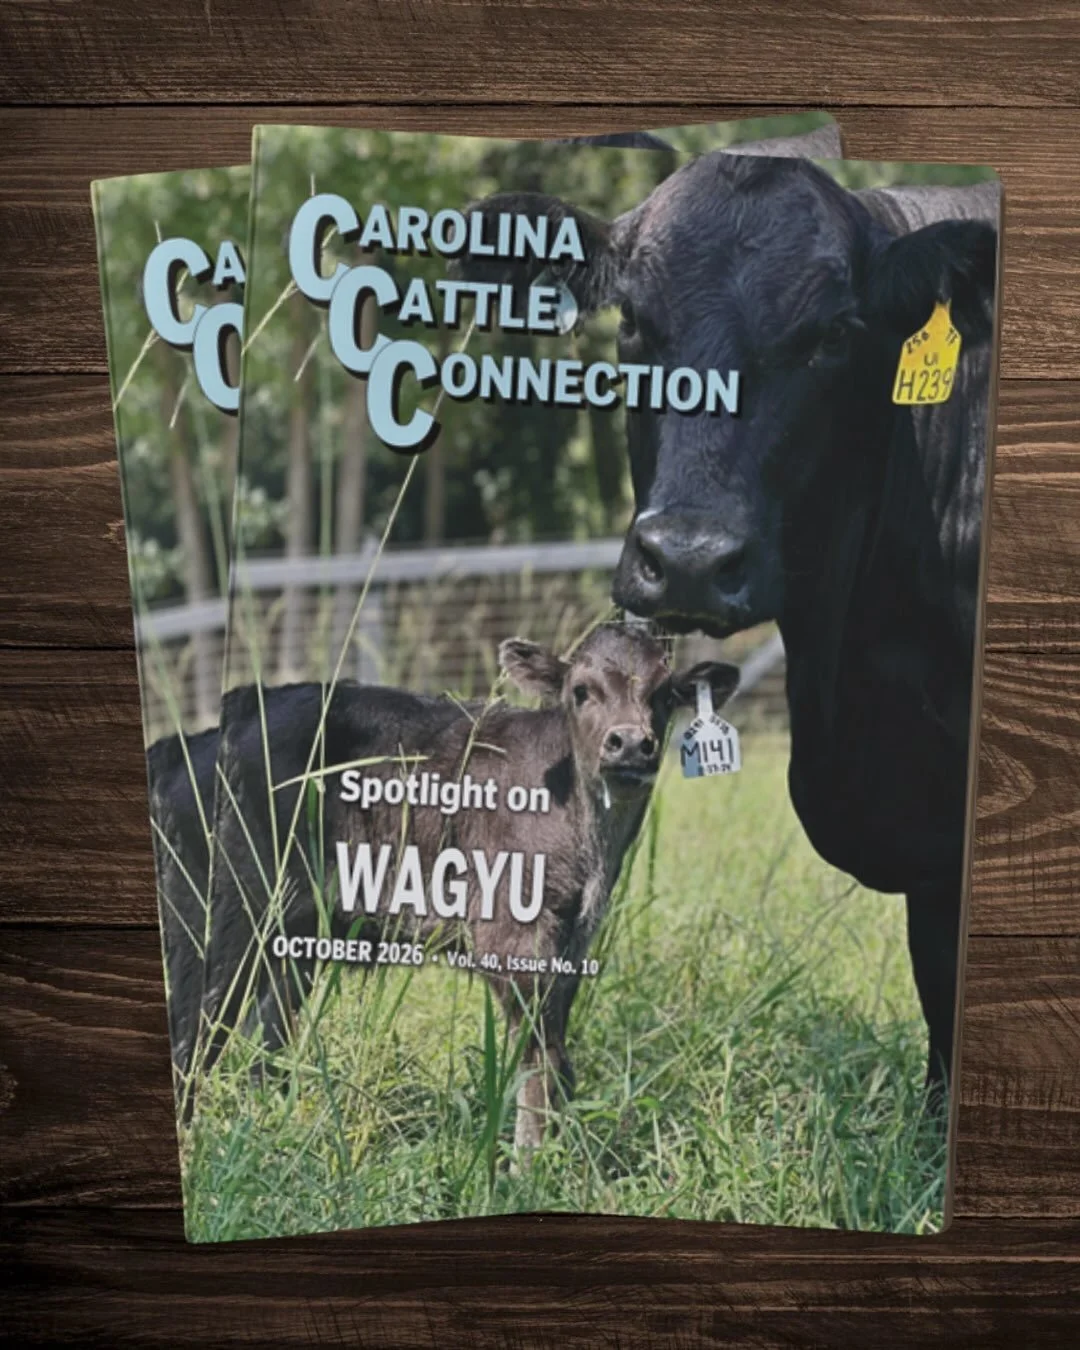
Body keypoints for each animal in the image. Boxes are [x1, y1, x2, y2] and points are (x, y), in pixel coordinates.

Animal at [165, 626, 736, 1148]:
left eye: (664, 694)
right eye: (581, 690)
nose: (631, 744)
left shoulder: (573, 943)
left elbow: (558, 1053)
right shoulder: (508, 936)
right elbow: (538, 1057)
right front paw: (529, 1167)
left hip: (294, 937)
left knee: (262, 1037)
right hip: (225, 913)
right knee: (195, 1029)